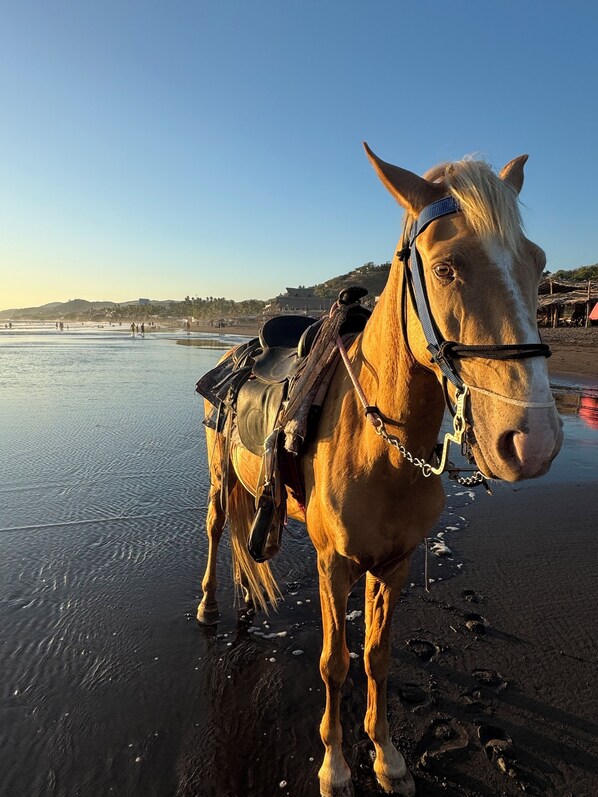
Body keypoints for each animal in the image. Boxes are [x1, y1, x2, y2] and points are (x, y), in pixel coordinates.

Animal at [196, 145, 563, 797]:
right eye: (445, 269)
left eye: (537, 263)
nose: (534, 440)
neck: (383, 448)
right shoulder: (334, 563)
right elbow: (334, 662)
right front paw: (335, 764)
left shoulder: (392, 564)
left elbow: (376, 657)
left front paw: (387, 755)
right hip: (220, 478)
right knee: (217, 529)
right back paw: (211, 606)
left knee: (242, 536)